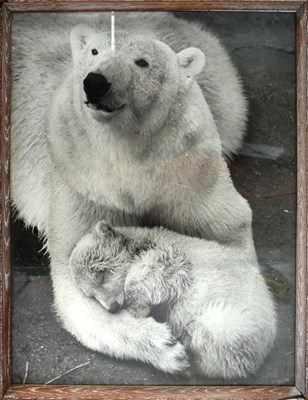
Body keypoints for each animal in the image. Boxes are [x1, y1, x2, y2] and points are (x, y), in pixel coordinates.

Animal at [70, 222, 276, 378]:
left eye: (101, 274)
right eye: (91, 294)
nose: (112, 307)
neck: (140, 241)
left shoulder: (170, 252)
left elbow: (161, 268)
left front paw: (136, 307)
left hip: (233, 320)